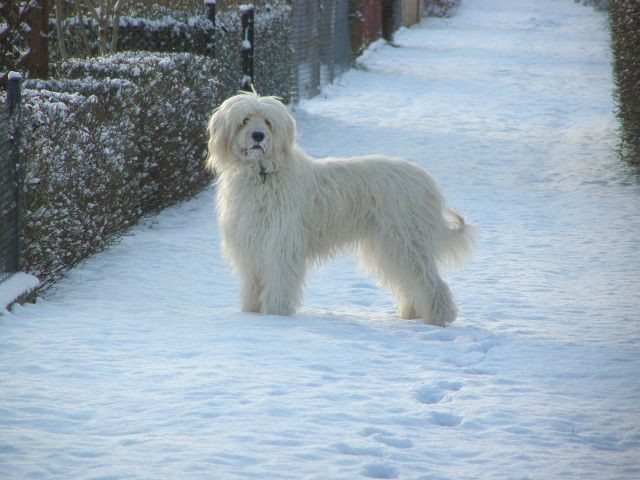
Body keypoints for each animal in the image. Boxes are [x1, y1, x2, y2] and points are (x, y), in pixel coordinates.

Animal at [206, 92, 476, 326]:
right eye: (244, 120)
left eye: (268, 122)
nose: (258, 136)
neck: (263, 174)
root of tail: (427, 182)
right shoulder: (252, 243)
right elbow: (254, 281)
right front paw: (251, 313)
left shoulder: (281, 242)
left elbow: (279, 279)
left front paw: (275, 314)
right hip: (390, 244)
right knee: (410, 281)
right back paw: (411, 314)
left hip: (405, 239)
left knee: (429, 281)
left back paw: (439, 318)